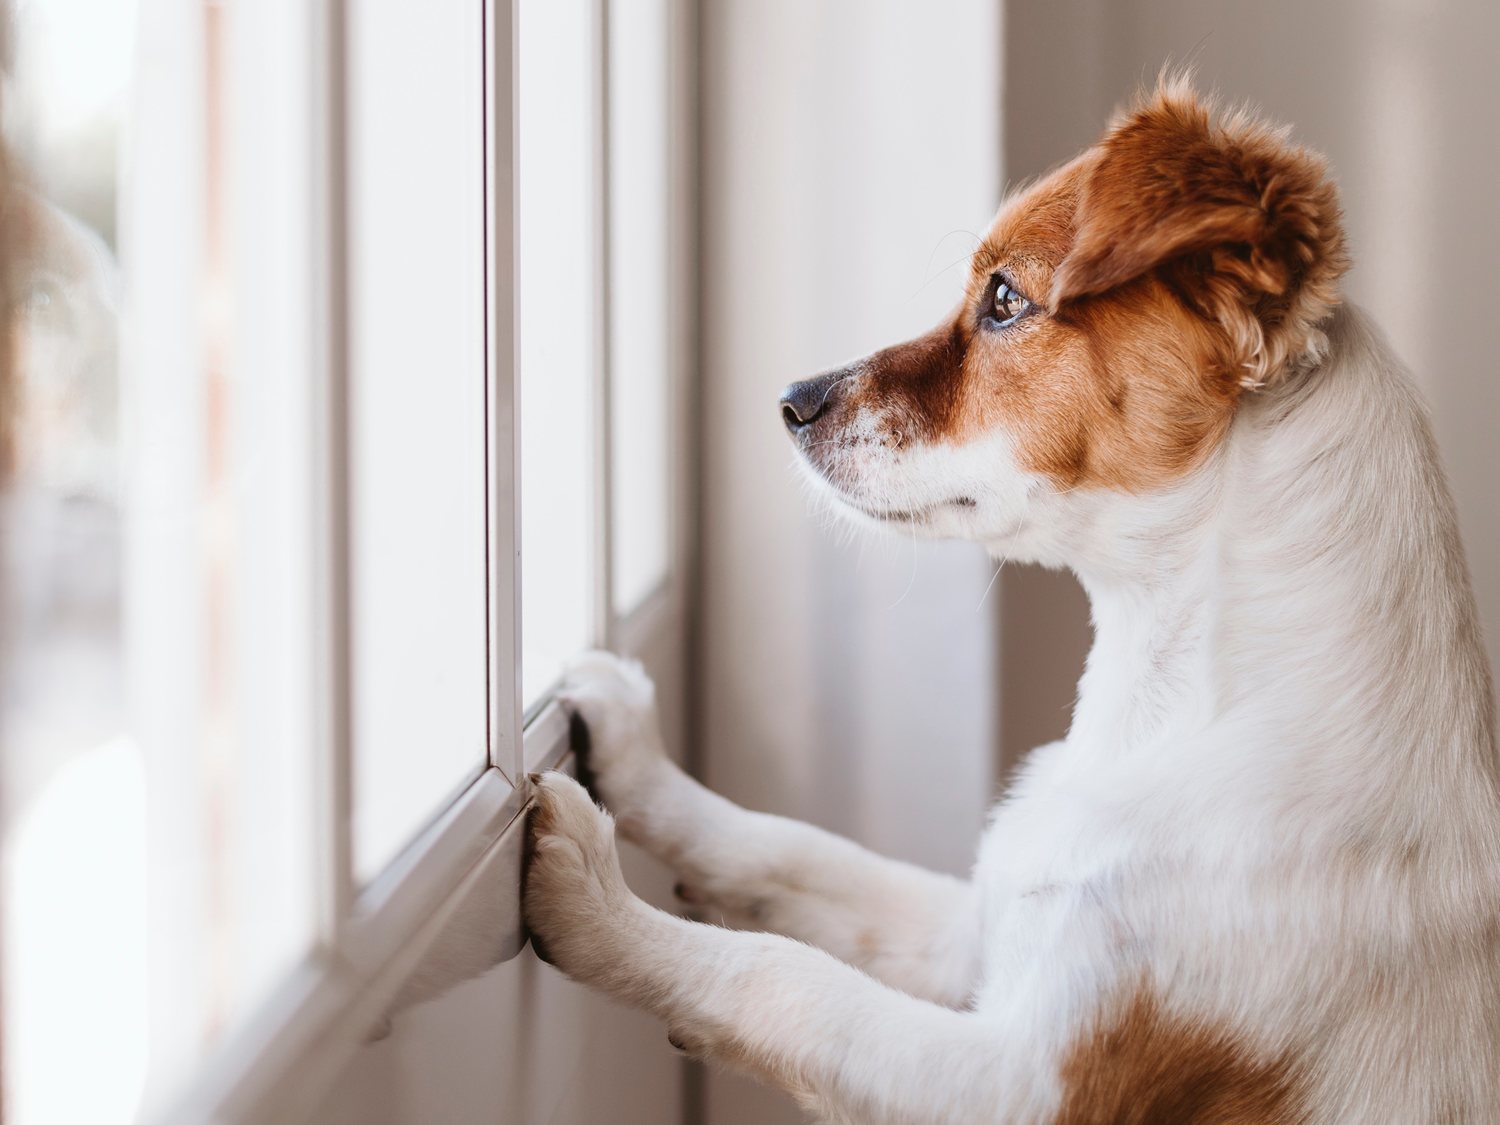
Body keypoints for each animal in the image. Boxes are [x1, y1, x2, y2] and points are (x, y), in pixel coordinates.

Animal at [525, 81, 1500, 1125]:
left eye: (1004, 301)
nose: (790, 400)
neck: (1170, 711)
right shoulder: (979, 927)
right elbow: (789, 851)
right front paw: (637, 758)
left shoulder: (1022, 1084)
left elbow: (783, 977)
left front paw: (597, 901)